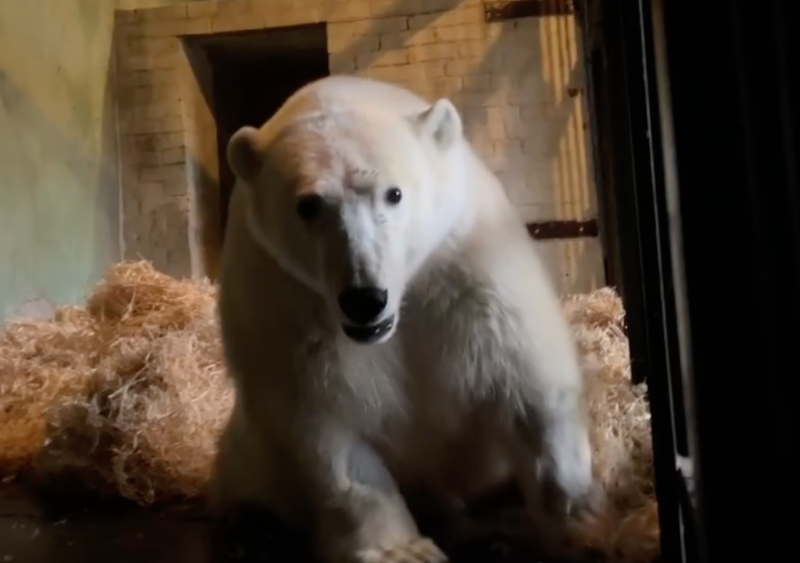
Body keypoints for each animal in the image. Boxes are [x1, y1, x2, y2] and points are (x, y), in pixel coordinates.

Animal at [211, 75, 596, 563]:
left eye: (393, 194)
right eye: (308, 205)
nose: (365, 299)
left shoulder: (464, 258)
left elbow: (526, 377)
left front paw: (579, 523)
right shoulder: (285, 300)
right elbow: (324, 417)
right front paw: (403, 550)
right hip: (249, 454)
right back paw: (248, 529)